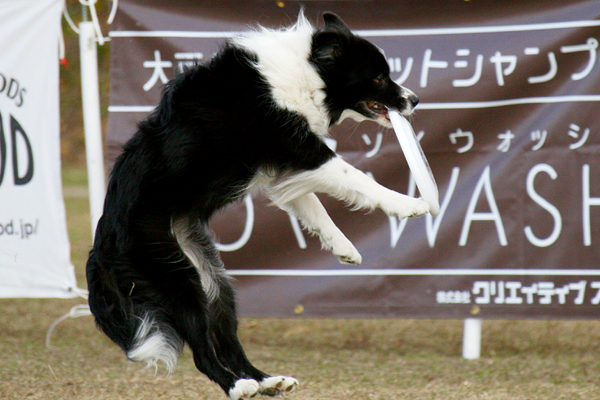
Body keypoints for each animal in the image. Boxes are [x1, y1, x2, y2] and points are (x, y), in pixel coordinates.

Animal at [86, 12, 428, 400]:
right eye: (379, 76)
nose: (415, 99)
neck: (307, 70)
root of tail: (101, 246)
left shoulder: (284, 167)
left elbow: (313, 206)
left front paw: (344, 247)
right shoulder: (301, 148)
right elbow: (354, 176)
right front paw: (410, 204)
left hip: (214, 281)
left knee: (227, 341)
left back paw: (267, 381)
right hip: (176, 280)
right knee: (202, 350)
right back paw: (237, 386)